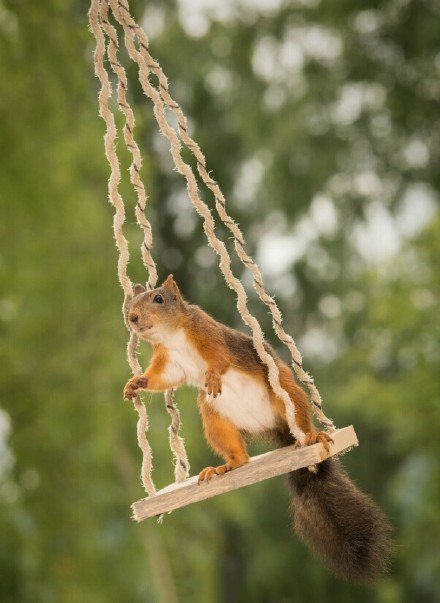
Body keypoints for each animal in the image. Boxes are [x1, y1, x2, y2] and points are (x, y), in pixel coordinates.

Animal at [123, 276, 392, 584]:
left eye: (159, 299)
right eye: (129, 305)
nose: (132, 318)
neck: (172, 336)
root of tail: (271, 427)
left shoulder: (207, 332)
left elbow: (220, 357)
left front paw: (212, 375)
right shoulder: (170, 362)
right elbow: (161, 378)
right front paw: (136, 383)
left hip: (286, 392)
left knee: (298, 413)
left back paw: (311, 436)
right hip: (215, 417)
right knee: (241, 456)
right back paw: (226, 466)